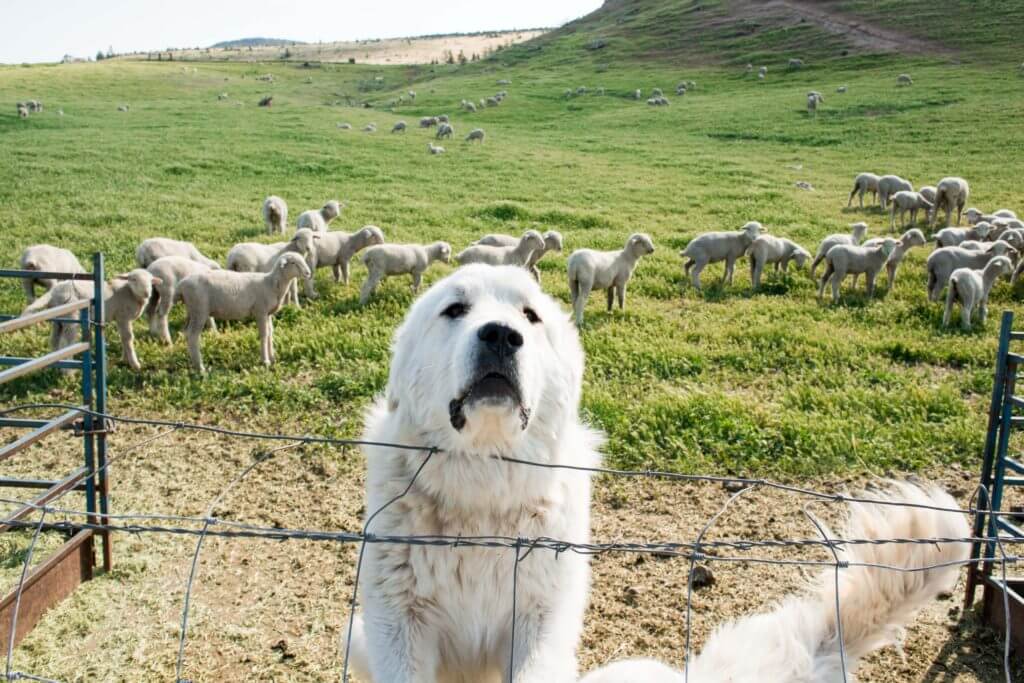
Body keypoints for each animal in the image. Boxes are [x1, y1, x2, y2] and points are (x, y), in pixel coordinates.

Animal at [22, 270, 159, 370]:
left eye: (151, 281)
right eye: (134, 279)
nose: (147, 293)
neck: (130, 293)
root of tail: (53, 292)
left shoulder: (120, 319)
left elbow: (123, 339)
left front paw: (125, 359)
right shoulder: (123, 317)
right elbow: (128, 338)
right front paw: (134, 364)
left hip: (58, 319)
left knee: (54, 340)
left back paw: (56, 365)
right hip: (71, 316)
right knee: (67, 343)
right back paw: (68, 371)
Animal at [180, 252, 309, 374]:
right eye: (293, 262)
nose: (308, 273)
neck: (271, 284)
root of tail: (182, 284)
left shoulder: (268, 314)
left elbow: (270, 333)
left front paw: (272, 357)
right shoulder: (260, 311)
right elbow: (264, 334)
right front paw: (265, 361)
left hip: (192, 311)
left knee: (186, 333)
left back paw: (193, 363)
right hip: (199, 310)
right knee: (193, 336)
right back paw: (200, 368)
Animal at [350, 264, 598, 679]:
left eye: (530, 315)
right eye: (455, 309)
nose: (501, 335)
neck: (484, 474)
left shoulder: (539, 620)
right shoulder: (398, 622)